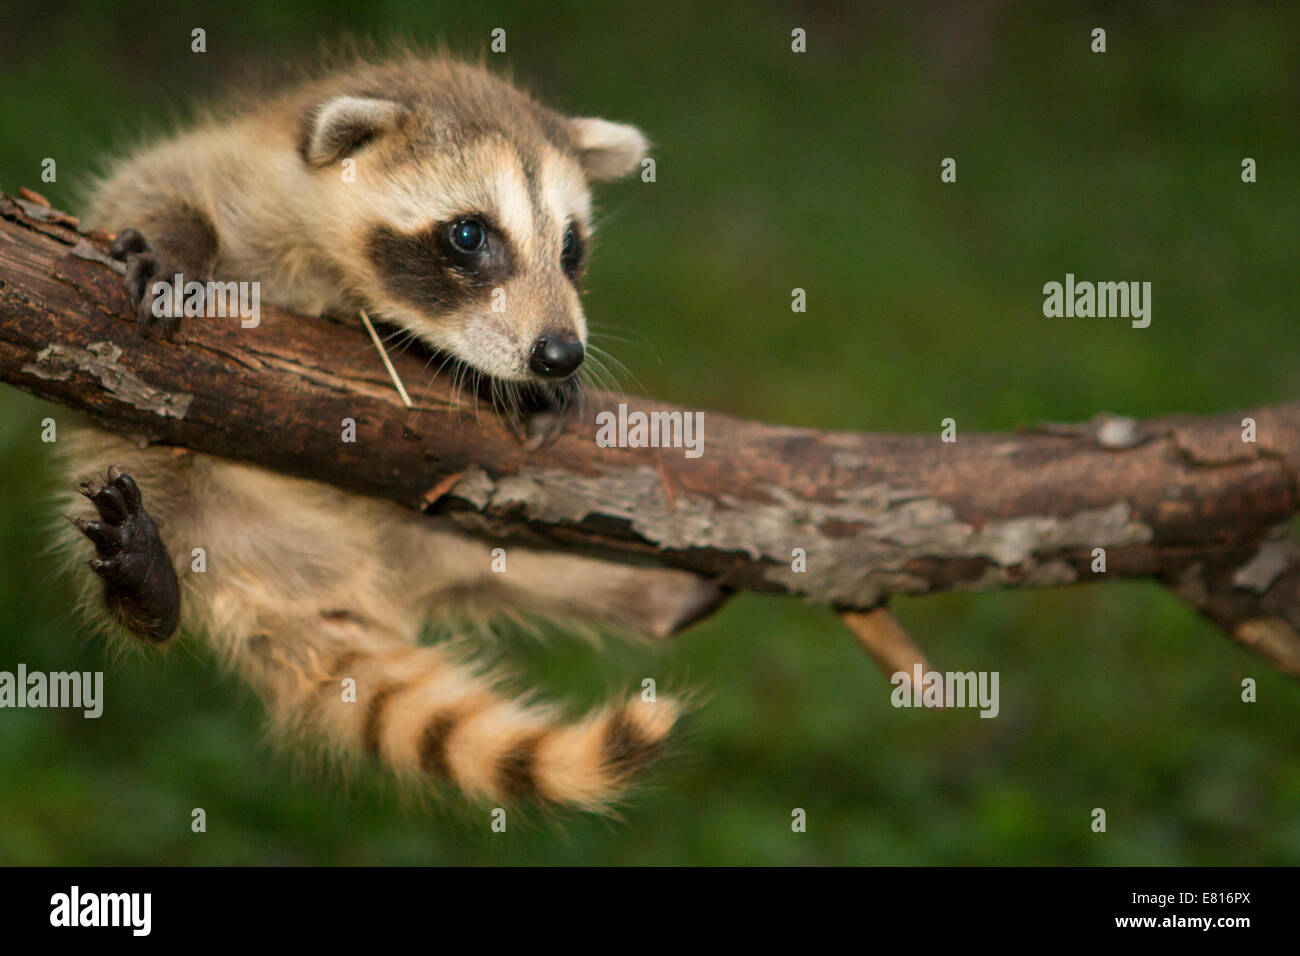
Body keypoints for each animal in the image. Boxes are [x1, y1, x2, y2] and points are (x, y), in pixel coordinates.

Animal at [59, 53, 725, 812]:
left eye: (571, 245)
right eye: (469, 235)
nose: (560, 354)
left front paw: (512, 382)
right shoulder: (243, 175)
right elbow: (151, 182)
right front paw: (173, 243)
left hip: (432, 532)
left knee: (514, 567)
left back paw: (655, 594)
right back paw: (146, 587)